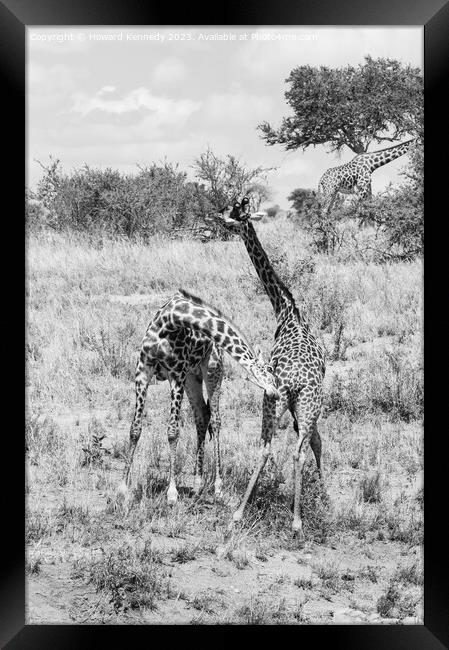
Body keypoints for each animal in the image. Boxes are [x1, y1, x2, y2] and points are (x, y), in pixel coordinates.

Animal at [120, 288, 280, 506]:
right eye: (271, 372)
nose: (276, 394)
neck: (171, 319)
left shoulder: (176, 373)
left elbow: (173, 431)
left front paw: (172, 493)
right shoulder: (143, 370)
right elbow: (135, 429)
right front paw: (122, 489)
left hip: (212, 370)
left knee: (216, 420)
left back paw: (217, 487)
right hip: (191, 376)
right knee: (202, 415)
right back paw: (197, 484)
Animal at [212, 197, 324, 540]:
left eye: (233, 211)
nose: (217, 216)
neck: (287, 311)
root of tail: (296, 382)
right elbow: (316, 442)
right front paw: (325, 495)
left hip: (283, 403)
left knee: (272, 448)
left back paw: (244, 514)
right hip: (299, 404)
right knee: (292, 448)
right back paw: (294, 521)